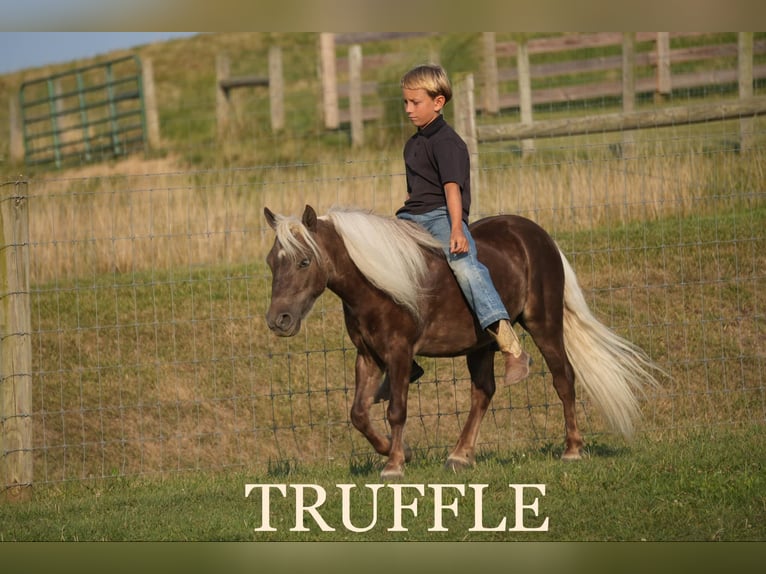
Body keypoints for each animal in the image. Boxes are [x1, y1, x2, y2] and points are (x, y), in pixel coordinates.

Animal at [268, 205, 664, 480]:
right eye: (273, 261)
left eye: (304, 261)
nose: (278, 320)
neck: (379, 283)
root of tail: (539, 236)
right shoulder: (368, 356)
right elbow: (359, 414)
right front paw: (398, 452)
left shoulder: (398, 353)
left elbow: (396, 410)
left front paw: (394, 465)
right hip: (481, 346)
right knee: (483, 392)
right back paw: (460, 456)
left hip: (545, 324)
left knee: (563, 378)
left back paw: (572, 449)